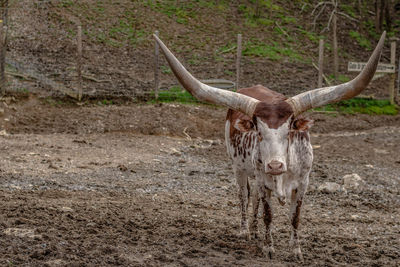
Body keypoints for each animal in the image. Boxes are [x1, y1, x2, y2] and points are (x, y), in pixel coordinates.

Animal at [153, 31, 384, 262]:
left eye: (289, 133)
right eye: (259, 133)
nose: (274, 166)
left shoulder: (303, 183)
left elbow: (295, 217)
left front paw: (296, 251)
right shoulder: (264, 181)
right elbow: (268, 215)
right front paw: (269, 248)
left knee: (253, 195)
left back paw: (255, 231)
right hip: (239, 167)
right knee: (244, 195)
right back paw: (245, 230)